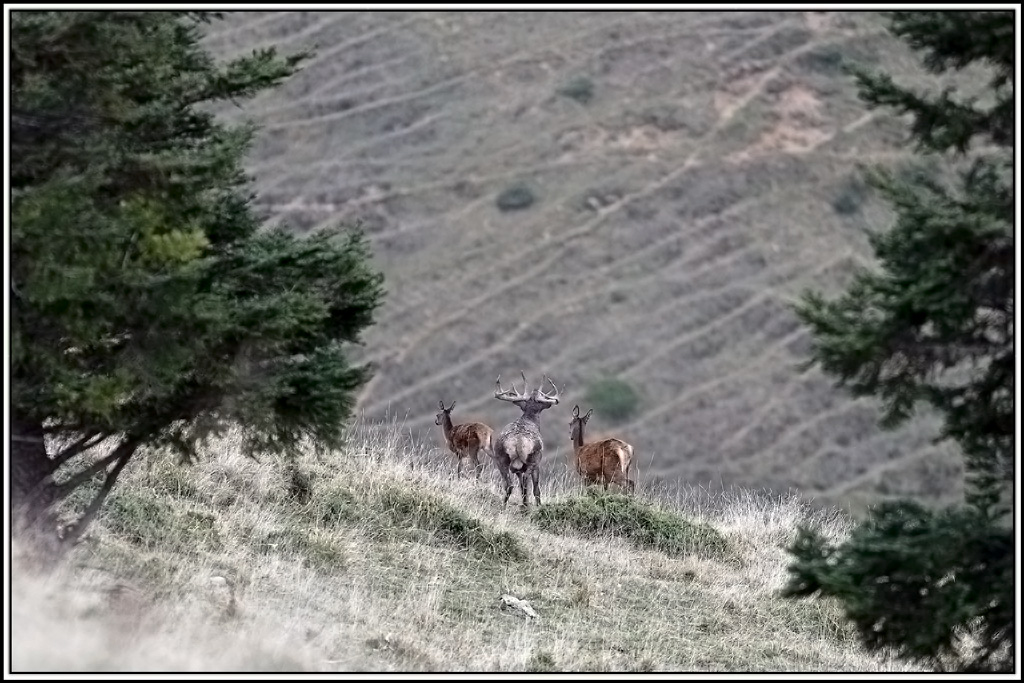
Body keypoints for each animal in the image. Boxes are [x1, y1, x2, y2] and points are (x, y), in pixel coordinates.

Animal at [492, 371, 561, 508]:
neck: (529, 420)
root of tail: (517, 442)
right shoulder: (537, 463)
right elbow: (536, 489)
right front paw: (538, 505)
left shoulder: (518, 468)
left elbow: (521, 487)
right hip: (532, 460)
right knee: (525, 483)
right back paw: (525, 507)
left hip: (501, 458)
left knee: (509, 485)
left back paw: (506, 506)